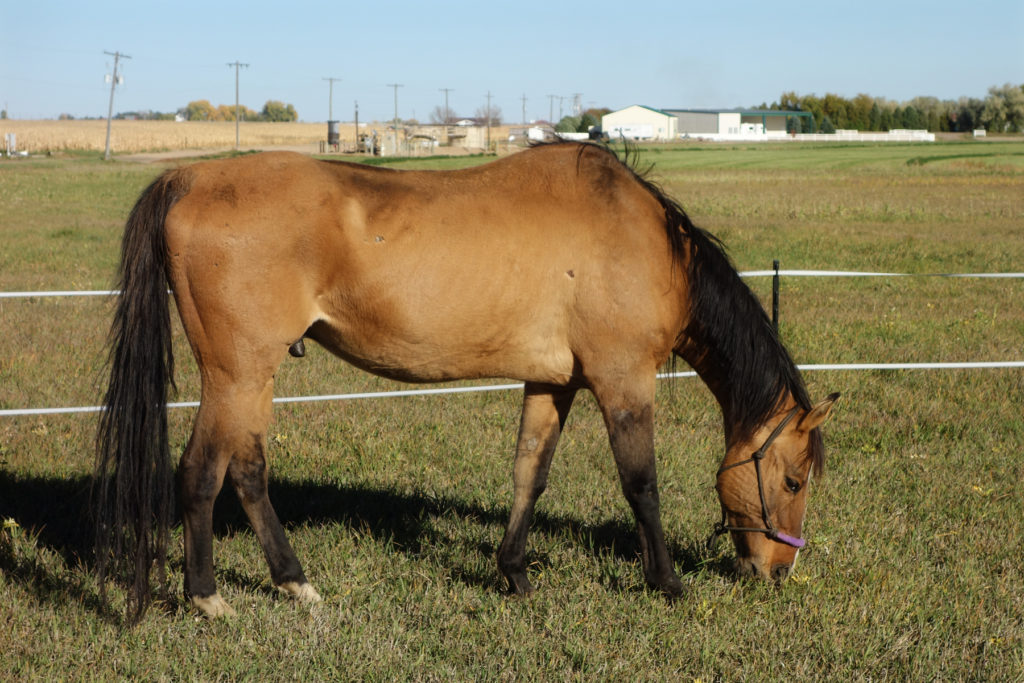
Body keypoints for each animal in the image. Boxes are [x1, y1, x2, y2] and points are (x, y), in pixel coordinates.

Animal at [92, 144, 835, 626]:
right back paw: (208, 596)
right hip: (237, 372)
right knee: (200, 472)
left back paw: (293, 582)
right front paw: (667, 582)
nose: (777, 571)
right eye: (793, 479)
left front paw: (514, 571)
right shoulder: (623, 380)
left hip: (252, 378)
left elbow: (529, 473)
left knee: (246, 472)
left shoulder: (552, 382)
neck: (645, 244)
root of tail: (191, 176)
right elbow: (642, 482)